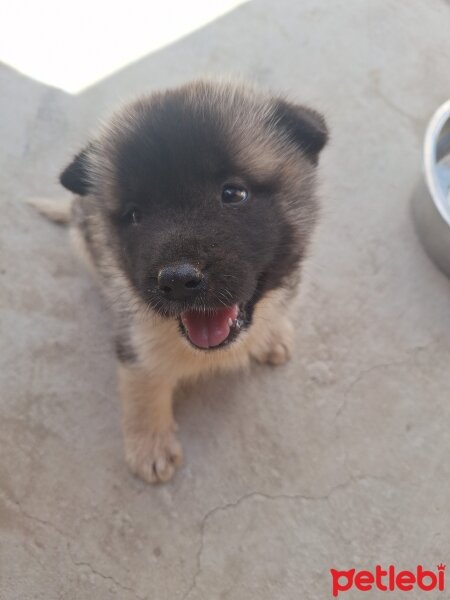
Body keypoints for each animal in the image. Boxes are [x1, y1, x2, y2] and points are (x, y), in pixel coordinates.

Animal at [34, 79, 326, 482]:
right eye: (134, 215)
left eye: (234, 193)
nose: (177, 280)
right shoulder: (135, 343)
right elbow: (143, 387)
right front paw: (150, 445)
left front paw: (272, 335)